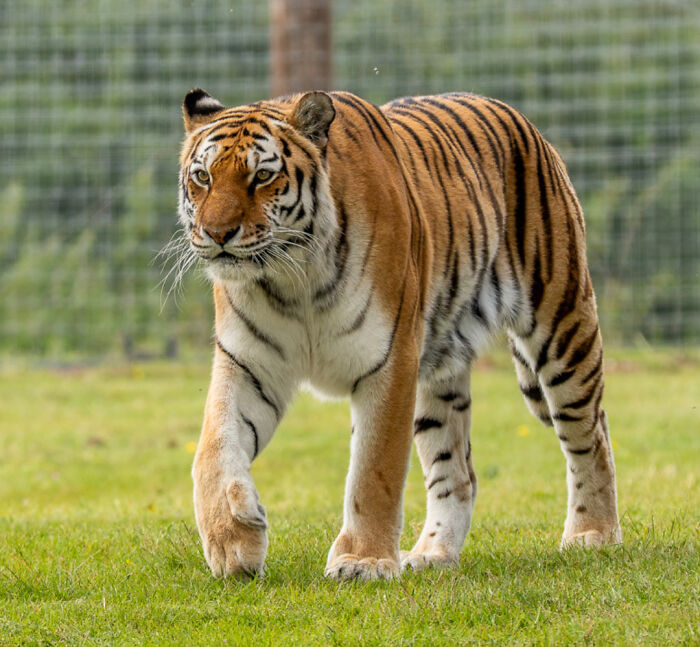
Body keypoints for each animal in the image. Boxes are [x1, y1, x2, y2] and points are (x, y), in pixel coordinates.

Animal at [178, 87, 622, 581]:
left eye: (261, 177)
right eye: (202, 177)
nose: (217, 233)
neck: (293, 280)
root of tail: (519, 118)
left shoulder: (389, 359)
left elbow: (374, 471)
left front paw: (363, 560)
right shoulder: (248, 364)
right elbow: (212, 449)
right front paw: (234, 543)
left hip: (561, 326)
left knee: (590, 434)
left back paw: (593, 534)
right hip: (439, 376)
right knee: (458, 472)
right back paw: (433, 554)